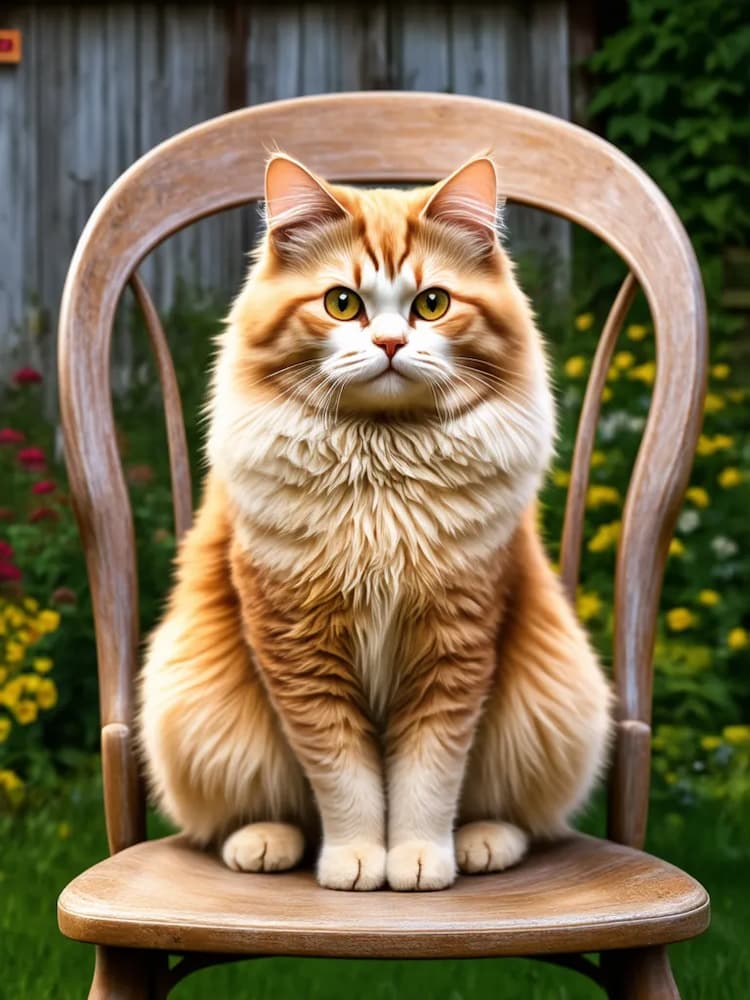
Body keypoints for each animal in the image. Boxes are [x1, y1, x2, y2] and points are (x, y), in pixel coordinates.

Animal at [138, 154, 612, 892]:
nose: (390, 342)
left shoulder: (455, 644)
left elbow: (427, 777)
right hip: (195, 709)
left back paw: (484, 841)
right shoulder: (298, 648)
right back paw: (264, 843)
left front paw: (417, 860)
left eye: (432, 304)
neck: (381, 471)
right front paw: (359, 860)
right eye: (342, 303)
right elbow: (345, 778)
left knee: (515, 814)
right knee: (263, 812)